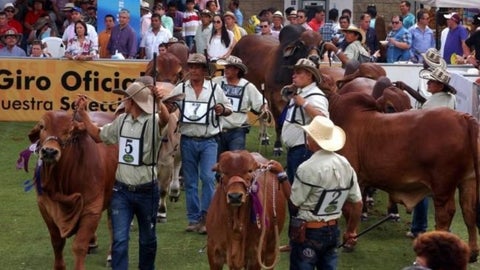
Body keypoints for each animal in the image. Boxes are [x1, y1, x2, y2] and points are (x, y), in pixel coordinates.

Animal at [28, 110, 117, 270]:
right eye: (42, 126)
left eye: (69, 131)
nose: (49, 152)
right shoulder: (45, 207)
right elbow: (57, 242)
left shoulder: (92, 208)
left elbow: (79, 245)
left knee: (113, 226)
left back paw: (111, 255)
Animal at [232, 25, 322, 156]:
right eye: (301, 43)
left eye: (321, 43)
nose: (314, 58)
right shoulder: (273, 98)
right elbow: (279, 124)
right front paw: (278, 147)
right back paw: (264, 137)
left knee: (263, 112)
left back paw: (263, 137)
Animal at [328, 92, 480, 262]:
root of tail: (464, 117)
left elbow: (350, 209)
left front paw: (349, 241)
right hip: (468, 181)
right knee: (469, 211)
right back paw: (473, 253)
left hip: (443, 183)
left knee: (445, 214)